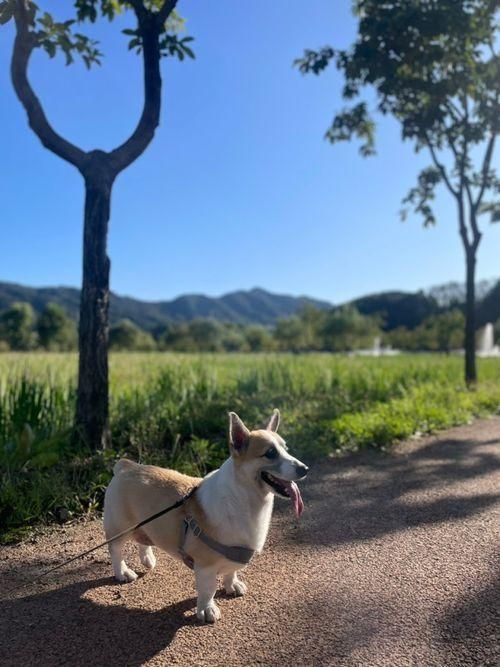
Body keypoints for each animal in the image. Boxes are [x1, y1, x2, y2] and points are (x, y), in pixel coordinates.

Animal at [103, 410, 306, 624]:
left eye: (286, 450)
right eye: (270, 453)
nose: (305, 469)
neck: (245, 497)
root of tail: (126, 466)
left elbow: (231, 572)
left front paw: (232, 586)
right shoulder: (205, 567)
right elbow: (208, 590)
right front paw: (207, 610)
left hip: (146, 523)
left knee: (143, 540)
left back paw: (148, 559)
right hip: (120, 528)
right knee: (115, 551)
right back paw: (123, 573)